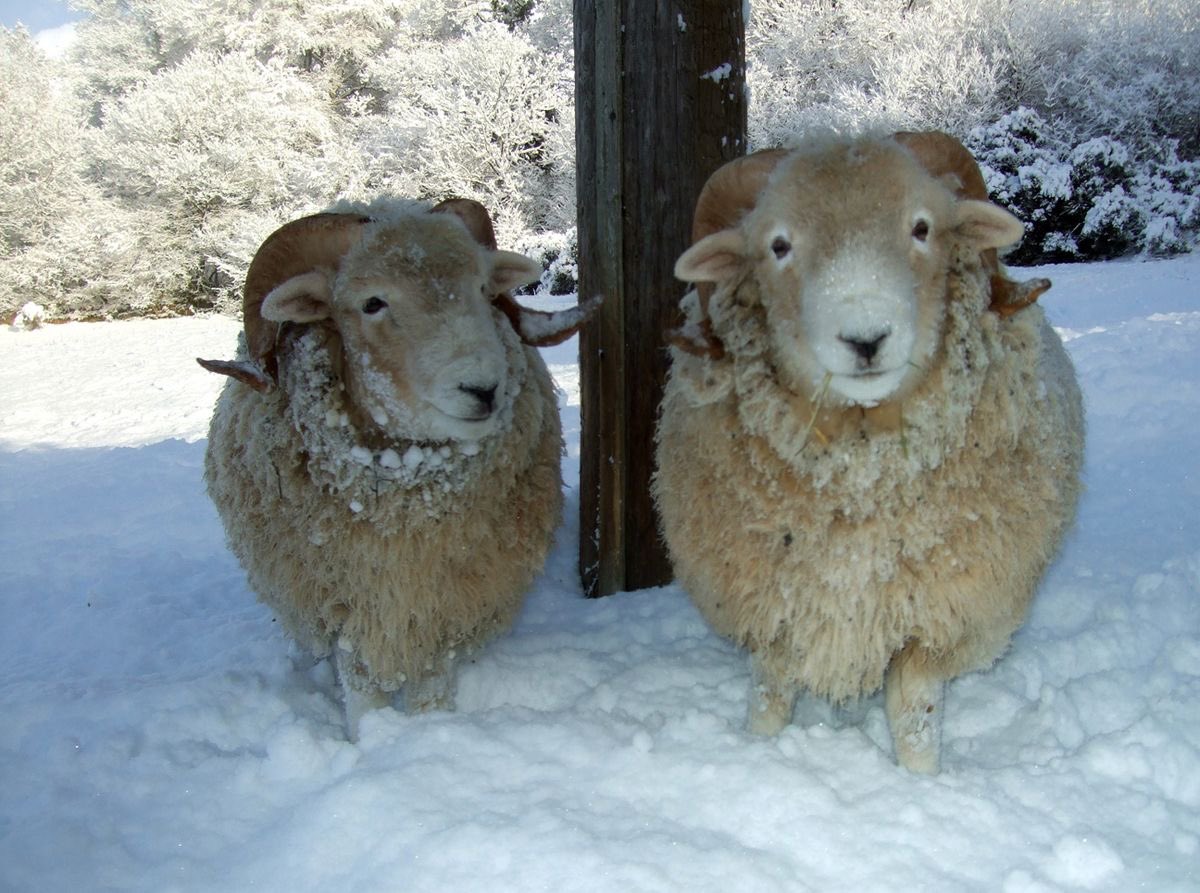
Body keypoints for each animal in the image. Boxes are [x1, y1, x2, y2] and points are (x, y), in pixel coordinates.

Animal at [199, 198, 597, 734]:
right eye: (372, 303)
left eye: (482, 287)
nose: (483, 388)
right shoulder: (348, 602)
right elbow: (361, 681)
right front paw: (374, 736)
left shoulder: (444, 601)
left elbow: (431, 676)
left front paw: (431, 728)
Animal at [653, 133, 1084, 774]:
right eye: (778, 246)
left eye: (923, 228)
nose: (865, 338)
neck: (859, 469)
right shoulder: (775, 607)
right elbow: (770, 696)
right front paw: (759, 754)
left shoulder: (932, 619)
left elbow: (913, 718)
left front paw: (921, 782)